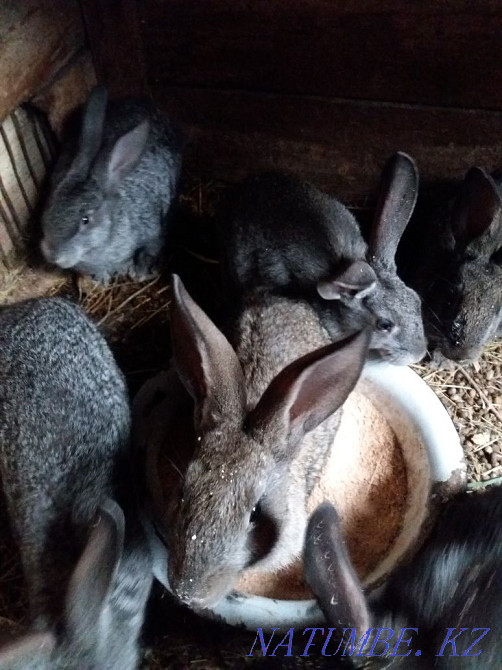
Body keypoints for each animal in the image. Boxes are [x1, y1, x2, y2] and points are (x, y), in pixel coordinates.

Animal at [40, 85, 183, 282]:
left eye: (85, 220)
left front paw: (138, 272)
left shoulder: (153, 232)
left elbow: (150, 249)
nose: (53, 255)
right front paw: (103, 278)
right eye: (49, 208)